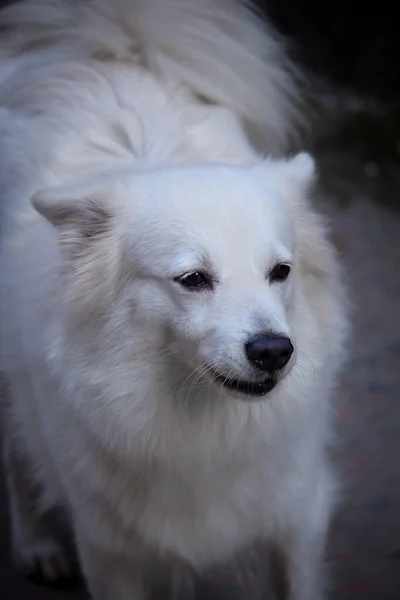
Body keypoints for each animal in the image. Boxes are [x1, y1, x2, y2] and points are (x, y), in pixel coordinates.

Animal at [0, 1, 346, 600]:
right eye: (193, 278)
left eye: (280, 272)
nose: (274, 351)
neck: (200, 424)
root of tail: (117, 51)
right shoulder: (110, 551)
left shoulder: (298, 517)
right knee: (19, 455)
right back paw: (37, 546)